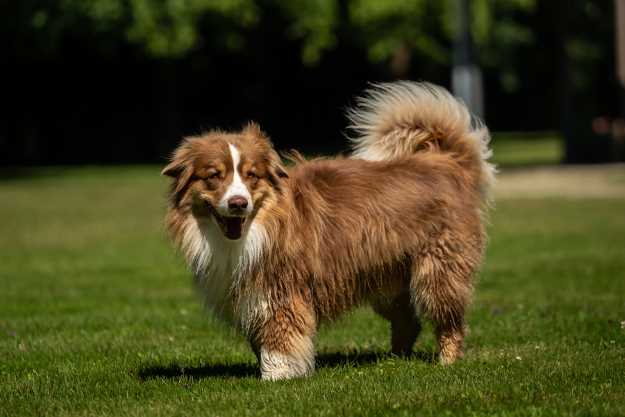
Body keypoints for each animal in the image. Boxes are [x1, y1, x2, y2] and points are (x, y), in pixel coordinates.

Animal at [163, 81, 494, 380]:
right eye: (213, 176)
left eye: (251, 175)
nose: (238, 203)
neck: (251, 230)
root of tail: (447, 162)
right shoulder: (248, 294)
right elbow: (260, 338)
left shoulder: (281, 290)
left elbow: (280, 338)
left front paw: (277, 377)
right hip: (388, 278)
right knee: (407, 320)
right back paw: (396, 359)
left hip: (436, 270)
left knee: (449, 318)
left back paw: (447, 361)